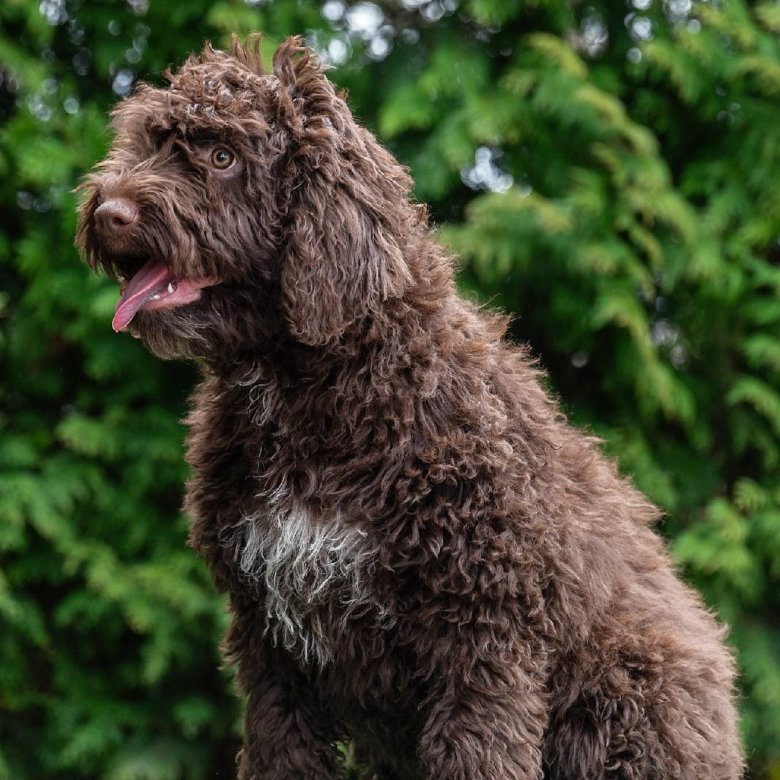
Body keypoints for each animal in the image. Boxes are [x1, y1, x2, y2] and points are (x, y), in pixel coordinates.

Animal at [77, 35, 744, 780]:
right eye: (147, 141)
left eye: (223, 157)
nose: (109, 212)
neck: (324, 385)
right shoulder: (272, 646)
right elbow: (283, 750)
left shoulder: (483, 637)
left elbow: (478, 753)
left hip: (623, 696)